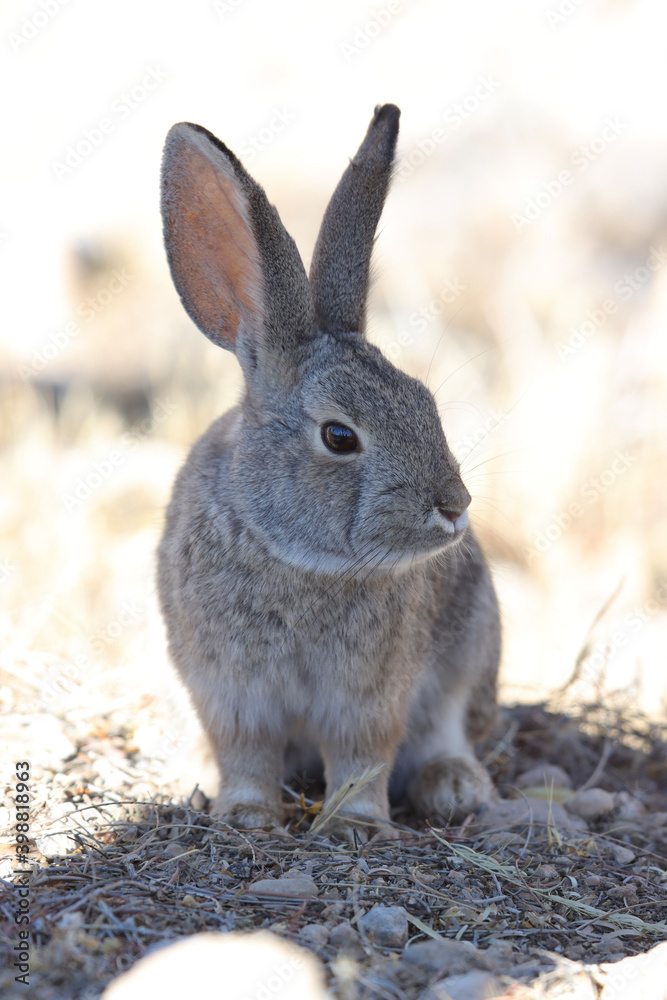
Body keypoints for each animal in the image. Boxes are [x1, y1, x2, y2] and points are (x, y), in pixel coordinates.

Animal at [157, 104, 501, 839]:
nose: (454, 505)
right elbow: (246, 753)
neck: (299, 558)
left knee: (446, 729)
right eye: (340, 437)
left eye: (426, 403)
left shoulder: (370, 693)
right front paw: (245, 817)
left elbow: (363, 754)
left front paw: (356, 826)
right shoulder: (231, 689)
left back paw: (454, 786)